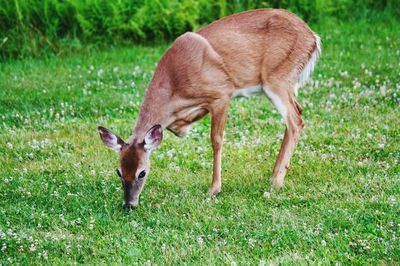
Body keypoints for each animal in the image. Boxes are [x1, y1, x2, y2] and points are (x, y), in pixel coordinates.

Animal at [98, 8, 320, 210]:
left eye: (142, 172)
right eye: (119, 172)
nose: (129, 204)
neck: (174, 84)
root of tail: (313, 37)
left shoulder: (222, 92)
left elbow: (216, 140)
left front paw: (214, 189)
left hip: (276, 79)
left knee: (295, 120)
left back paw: (276, 181)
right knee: (298, 112)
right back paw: (275, 174)